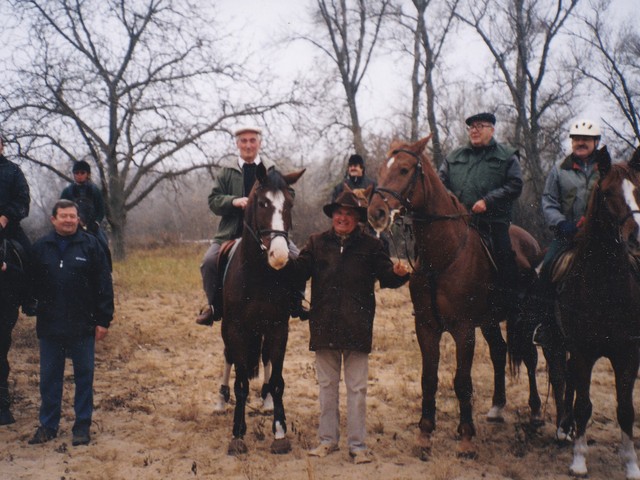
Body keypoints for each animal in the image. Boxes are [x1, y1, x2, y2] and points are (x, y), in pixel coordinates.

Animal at [221, 163, 304, 456]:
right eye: (262, 203)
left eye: (289, 204)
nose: (279, 256)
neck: (257, 276)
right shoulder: (236, 330)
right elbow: (242, 383)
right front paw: (237, 434)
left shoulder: (279, 328)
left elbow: (277, 380)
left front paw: (279, 432)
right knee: (229, 358)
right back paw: (221, 399)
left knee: (266, 357)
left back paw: (267, 402)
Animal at [368, 137, 544, 460]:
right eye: (381, 170)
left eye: (404, 169)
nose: (375, 213)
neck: (443, 256)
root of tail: (533, 242)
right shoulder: (426, 328)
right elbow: (429, 379)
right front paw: (424, 434)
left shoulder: (463, 330)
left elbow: (462, 381)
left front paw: (466, 438)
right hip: (489, 322)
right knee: (499, 352)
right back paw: (497, 407)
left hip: (523, 318)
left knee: (529, 356)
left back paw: (536, 412)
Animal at [556, 147, 640, 480]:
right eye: (607, 192)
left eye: (638, 189)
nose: (637, 236)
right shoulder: (582, 351)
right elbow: (583, 404)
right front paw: (579, 460)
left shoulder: (627, 354)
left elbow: (626, 410)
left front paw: (631, 462)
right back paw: (564, 428)